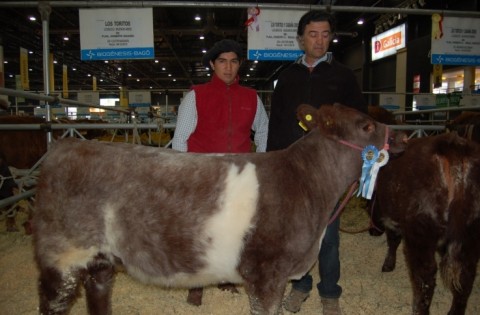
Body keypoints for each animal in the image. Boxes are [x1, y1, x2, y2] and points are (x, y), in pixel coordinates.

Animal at [31, 104, 406, 315]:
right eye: (366, 126)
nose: (402, 138)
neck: (305, 183)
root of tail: (62, 147)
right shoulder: (266, 273)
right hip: (62, 257)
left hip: (100, 260)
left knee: (98, 294)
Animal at [370, 133, 478, 315]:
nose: (372, 231)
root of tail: (453, 145)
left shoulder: (392, 220)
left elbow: (393, 241)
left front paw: (388, 264)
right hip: (470, 237)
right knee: (466, 277)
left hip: (420, 237)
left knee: (425, 278)